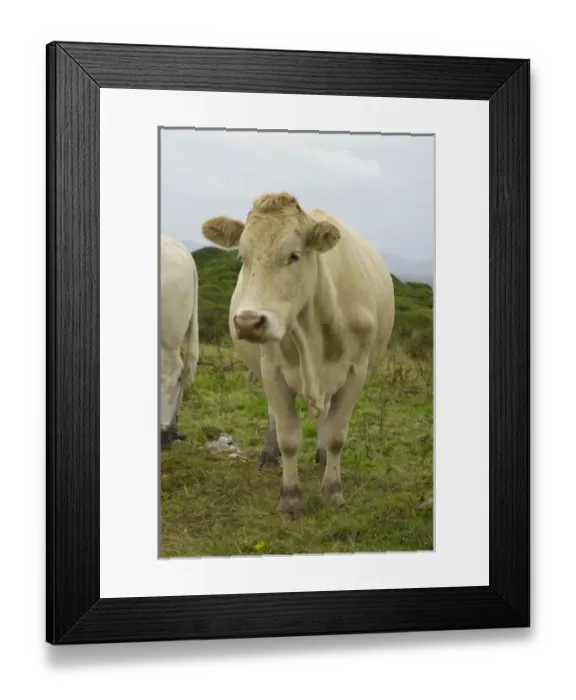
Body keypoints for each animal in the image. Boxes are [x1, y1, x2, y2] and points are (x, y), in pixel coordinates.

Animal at [201, 192, 395, 520]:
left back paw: (321, 455)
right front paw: (290, 498)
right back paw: (269, 455)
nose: (248, 323)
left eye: (294, 255)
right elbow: (289, 438)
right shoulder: (272, 371)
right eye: (243, 257)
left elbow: (336, 436)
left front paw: (333, 490)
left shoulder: (356, 372)